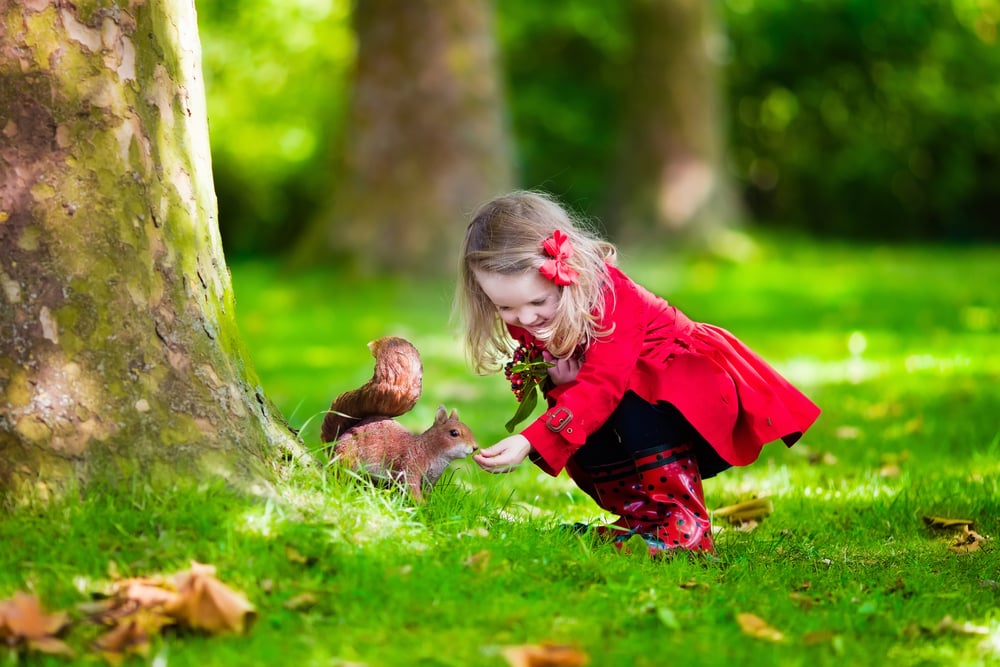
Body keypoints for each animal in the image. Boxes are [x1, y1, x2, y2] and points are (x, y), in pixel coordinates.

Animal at [320, 336, 478, 501]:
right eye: (454, 433)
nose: (475, 447)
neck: (430, 450)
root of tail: (333, 444)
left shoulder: (430, 479)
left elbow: (427, 492)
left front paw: (429, 503)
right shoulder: (409, 466)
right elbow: (411, 487)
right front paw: (420, 504)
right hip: (348, 456)